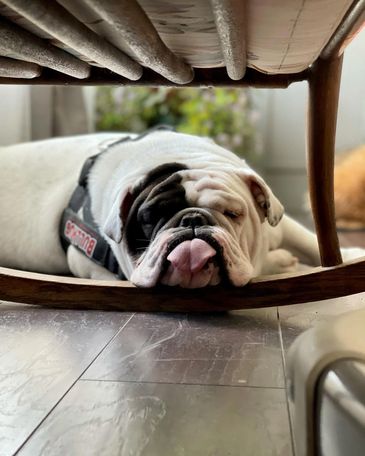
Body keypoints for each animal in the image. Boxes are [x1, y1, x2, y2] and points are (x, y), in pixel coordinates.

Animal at [0, 128, 362, 286]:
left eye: (233, 214)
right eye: (149, 218)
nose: (192, 220)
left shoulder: (281, 226)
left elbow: (308, 240)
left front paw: (346, 257)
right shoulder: (85, 262)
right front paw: (281, 262)